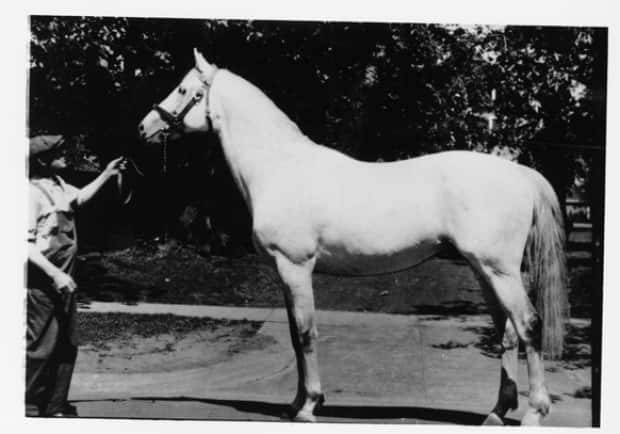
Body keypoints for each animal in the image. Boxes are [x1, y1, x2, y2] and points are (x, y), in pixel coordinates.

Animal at [138, 49, 568, 426]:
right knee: (507, 331)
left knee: (529, 325)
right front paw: (295, 403)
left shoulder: (295, 267)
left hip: (500, 271)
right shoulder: (283, 273)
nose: (144, 127)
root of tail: (520, 174)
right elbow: (294, 335)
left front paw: (309, 406)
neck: (279, 167)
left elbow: (307, 334)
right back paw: (496, 411)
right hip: (485, 271)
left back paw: (534, 412)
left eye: (183, 89)